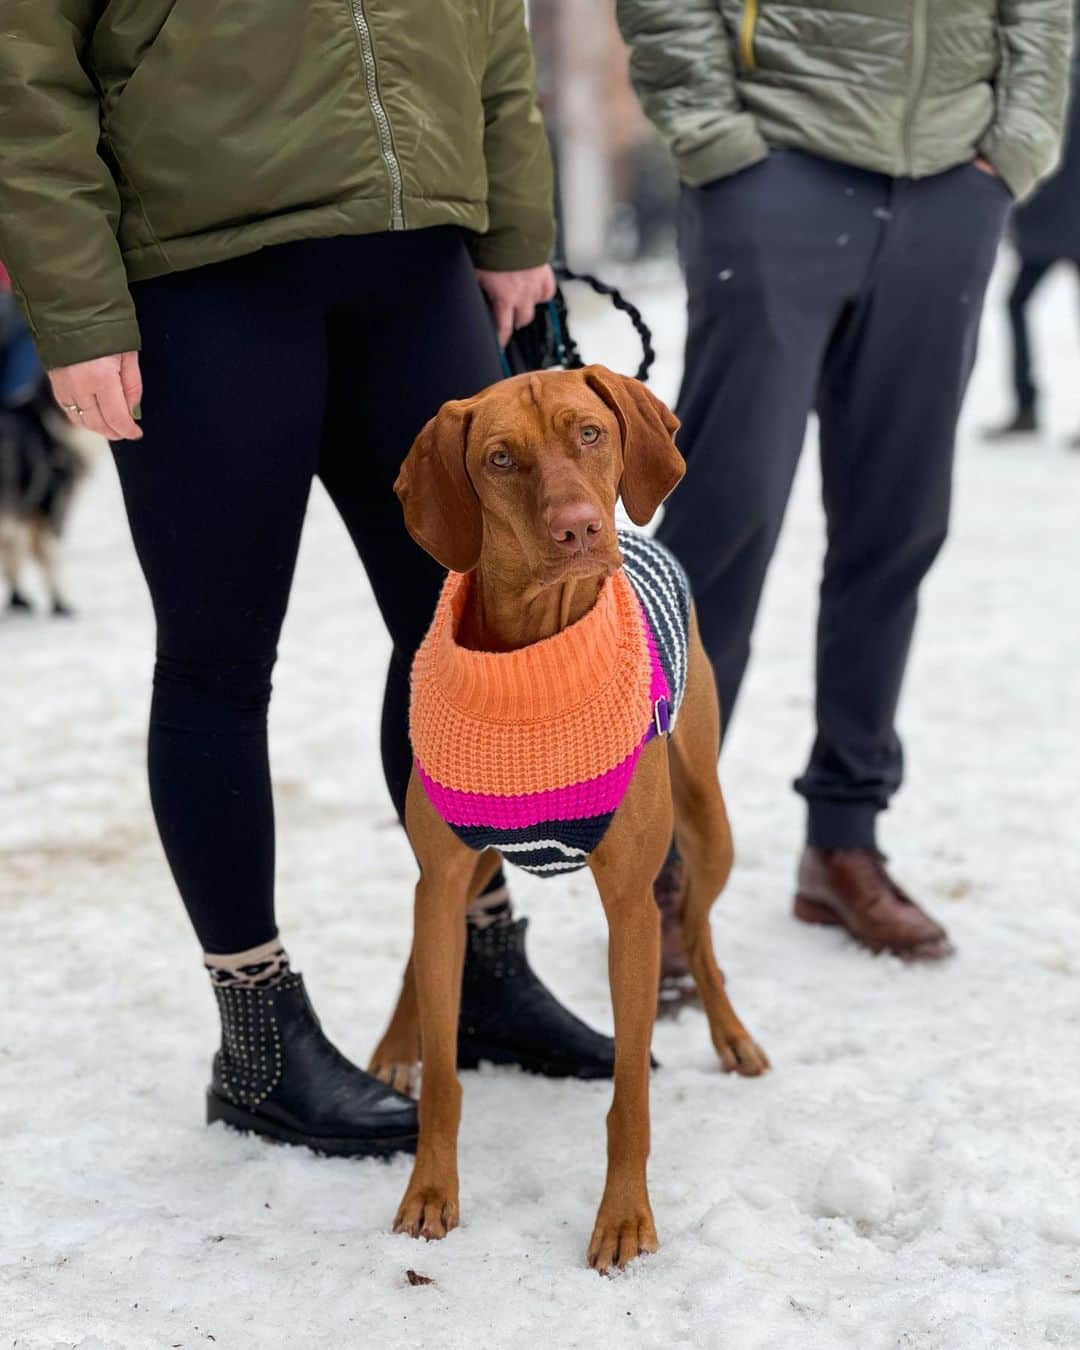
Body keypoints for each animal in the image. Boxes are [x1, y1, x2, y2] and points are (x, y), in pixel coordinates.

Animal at [372, 364, 766, 1269]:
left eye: (589, 432)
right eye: (500, 458)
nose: (580, 527)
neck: (532, 653)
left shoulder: (630, 905)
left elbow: (631, 1092)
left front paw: (623, 1218)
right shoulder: (443, 870)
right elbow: (445, 1078)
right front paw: (429, 1191)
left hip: (708, 823)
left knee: (699, 930)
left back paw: (730, 1034)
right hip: (464, 863)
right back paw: (395, 1047)